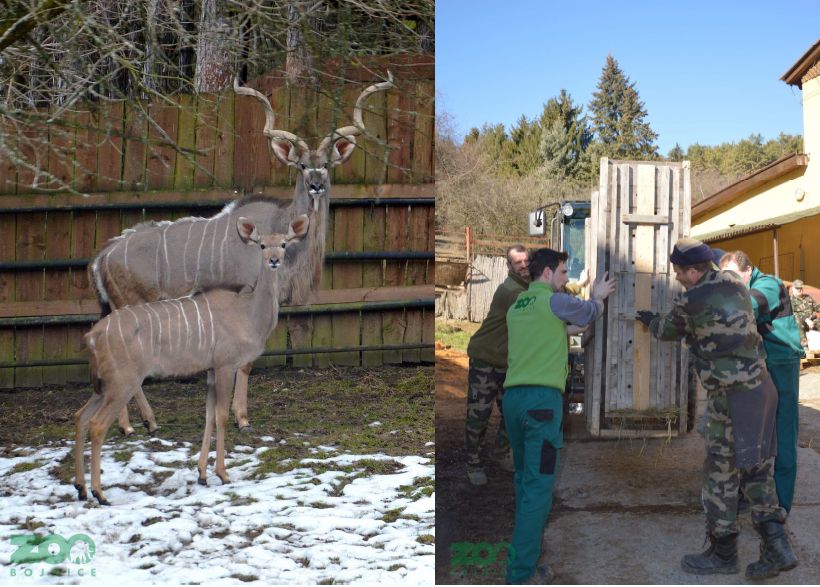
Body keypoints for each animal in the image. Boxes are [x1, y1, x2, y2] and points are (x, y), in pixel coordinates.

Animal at [75, 215, 310, 506]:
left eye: (284, 244)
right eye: (262, 245)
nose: (274, 260)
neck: (247, 313)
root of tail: (92, 335)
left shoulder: (210, 370)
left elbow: (209, 416)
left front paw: (202, 475)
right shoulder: (225, 366)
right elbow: (221, 416)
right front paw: (222, 474)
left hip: (104, 385)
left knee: (80, 416)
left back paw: (81, 488)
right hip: (122, 383)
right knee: (97, 425)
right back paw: (100, 492)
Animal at [88, 71, 396, 434]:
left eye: (326, 165)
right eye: (301, 165)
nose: (316, 185)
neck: (283, 227)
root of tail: (101, 258)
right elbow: (246, 363)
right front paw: (241, 417)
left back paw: (136, 424)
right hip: (132, 305)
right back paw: (138, 424)